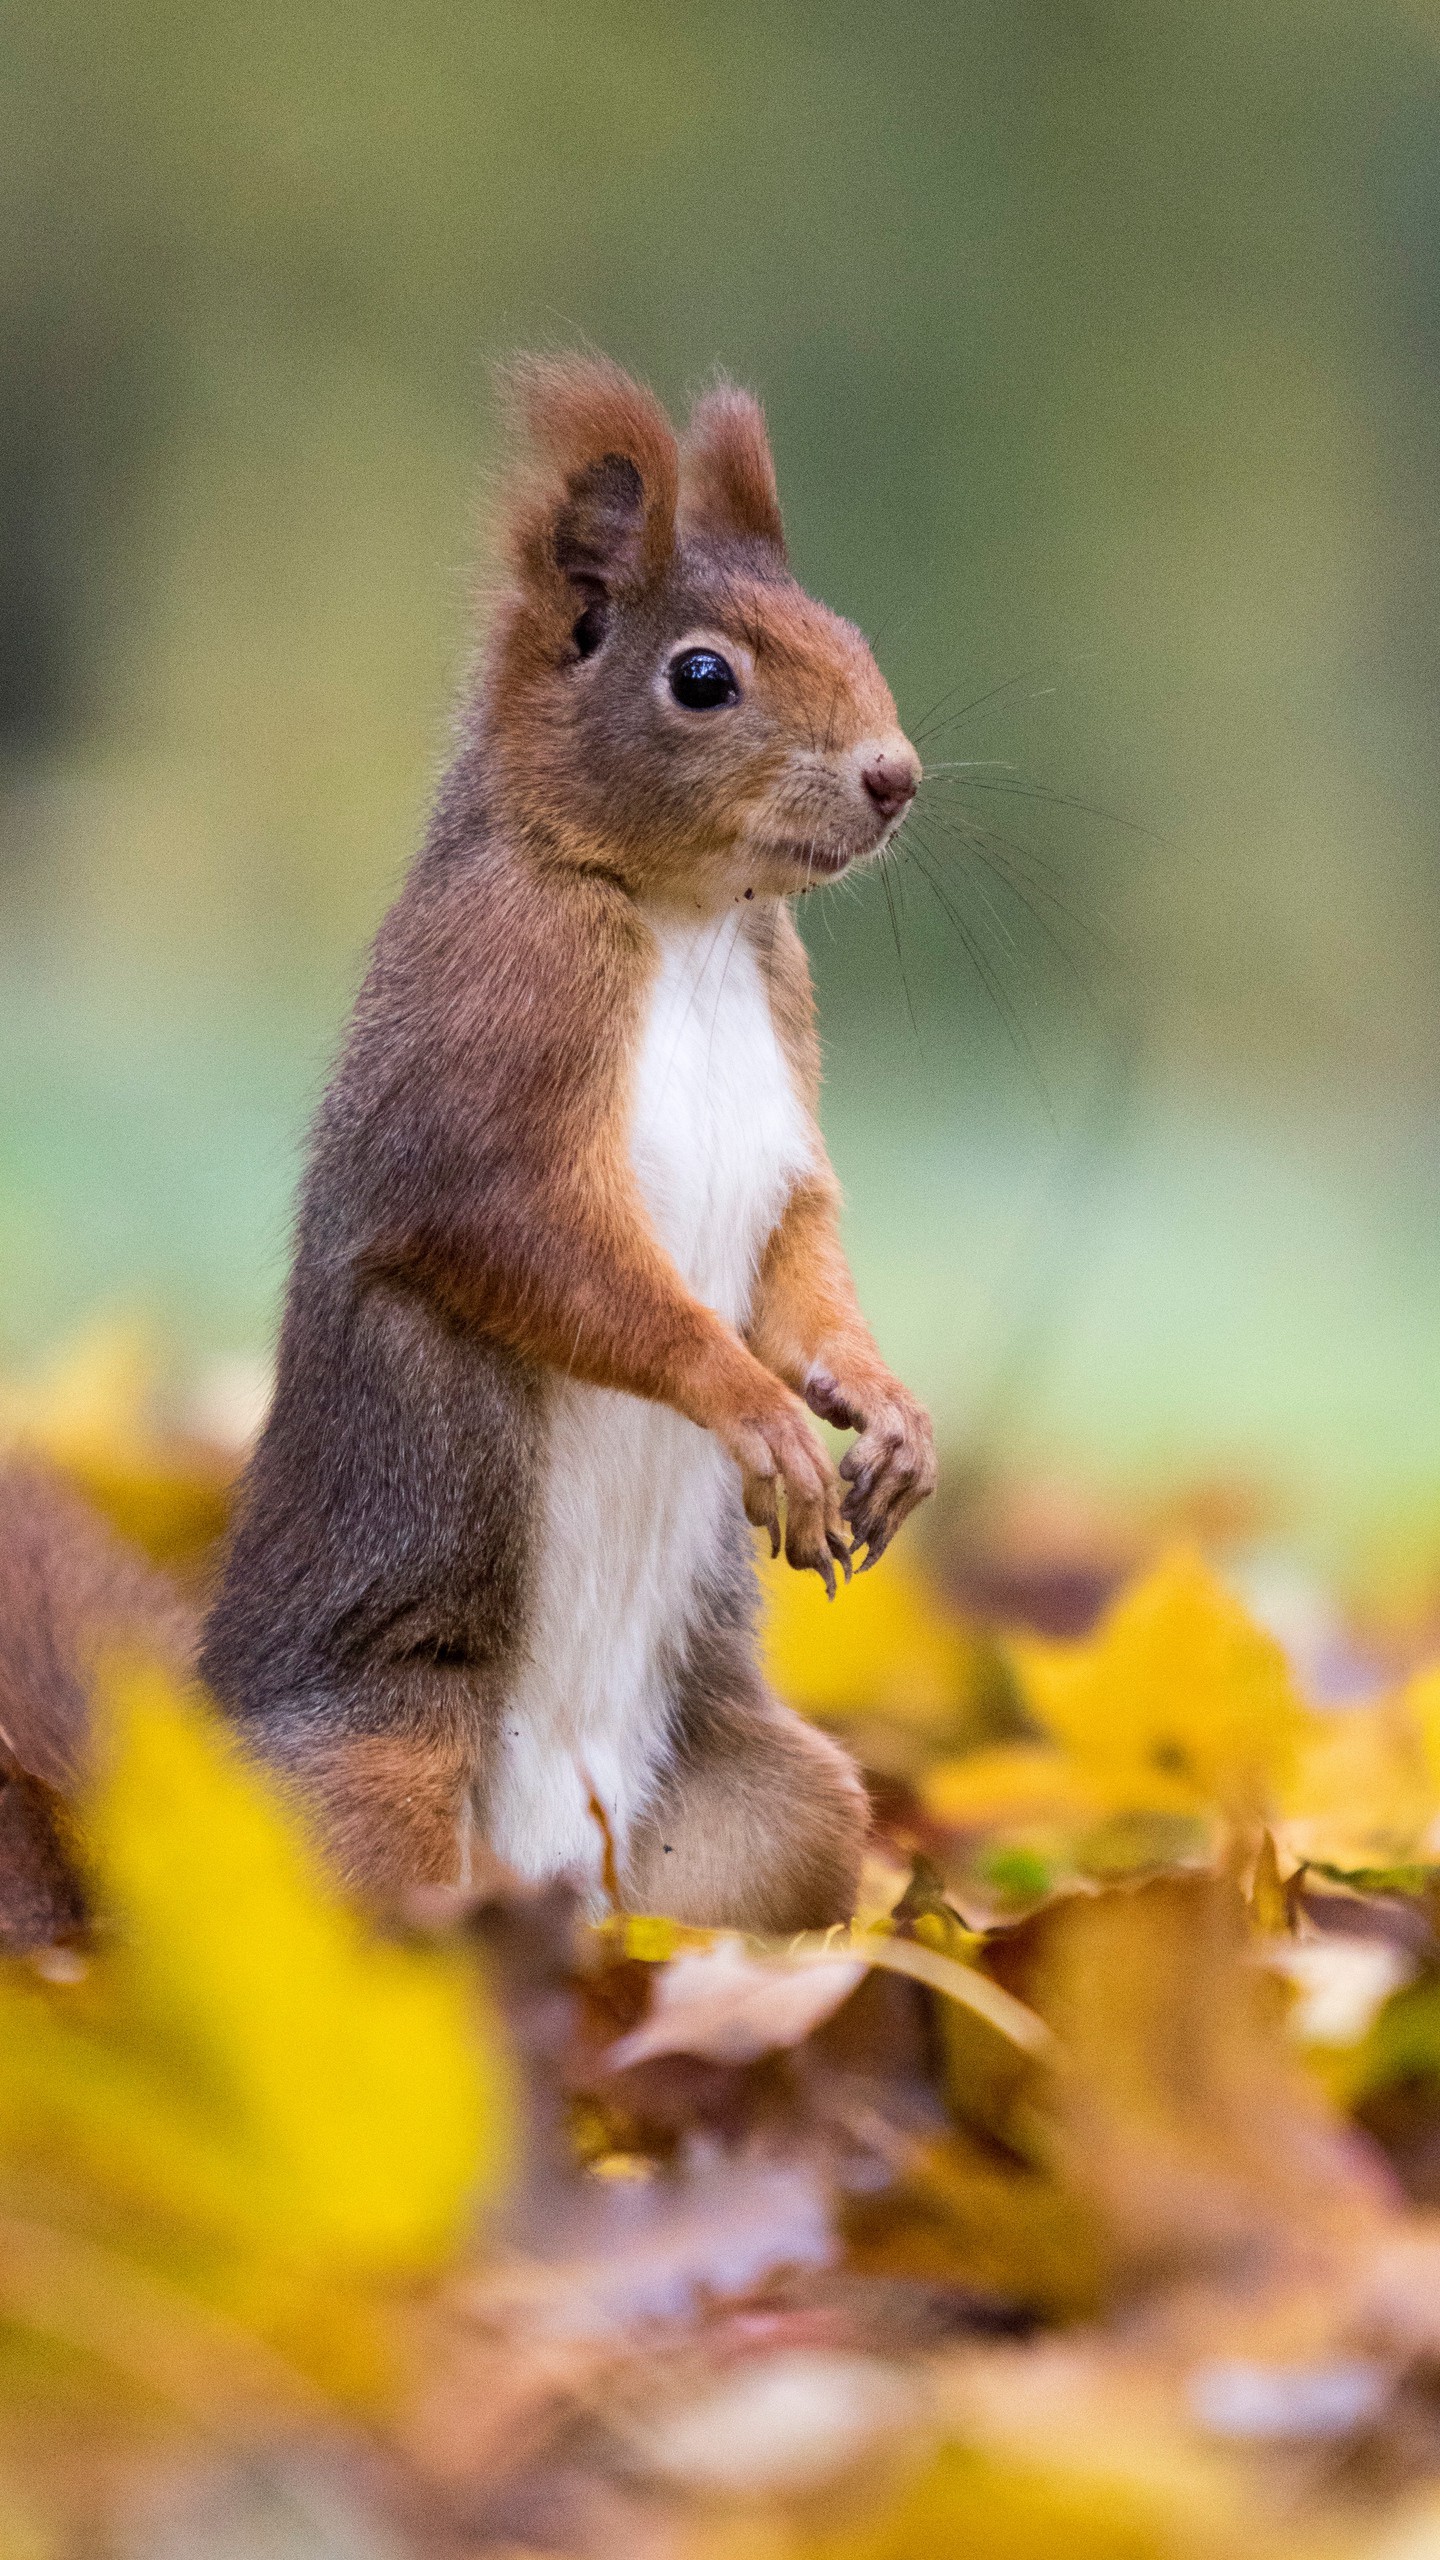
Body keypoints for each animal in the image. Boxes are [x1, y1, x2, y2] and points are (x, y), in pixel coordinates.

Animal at [181, 350, 932, 1925]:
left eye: (847, 627)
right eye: (701, 677)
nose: (895, 775)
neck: (690, 920)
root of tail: (554, 1889)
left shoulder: (787, 1089)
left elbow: (805, 1254)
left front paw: (885, 1409)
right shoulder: (498, 1038)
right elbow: (540, 1248)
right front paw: (755, 1407)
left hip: (780, 1814)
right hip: (370, 1787)